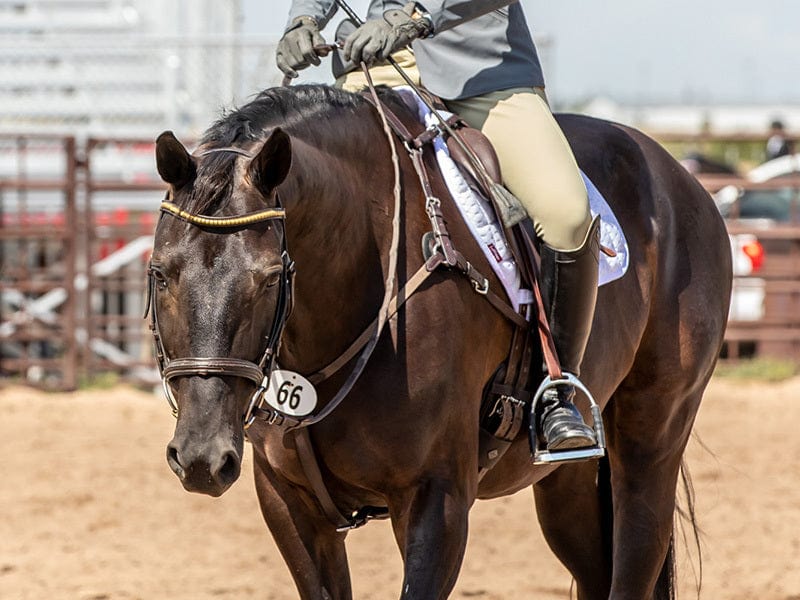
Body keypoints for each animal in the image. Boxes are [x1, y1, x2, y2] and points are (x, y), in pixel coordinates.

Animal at [150, 84, 732, 599]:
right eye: (159, 273)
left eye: (272, 278)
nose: (202, 457)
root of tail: (678, 175)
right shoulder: (286, 499)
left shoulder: (437, 500)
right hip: (565, 478)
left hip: (651, 439)